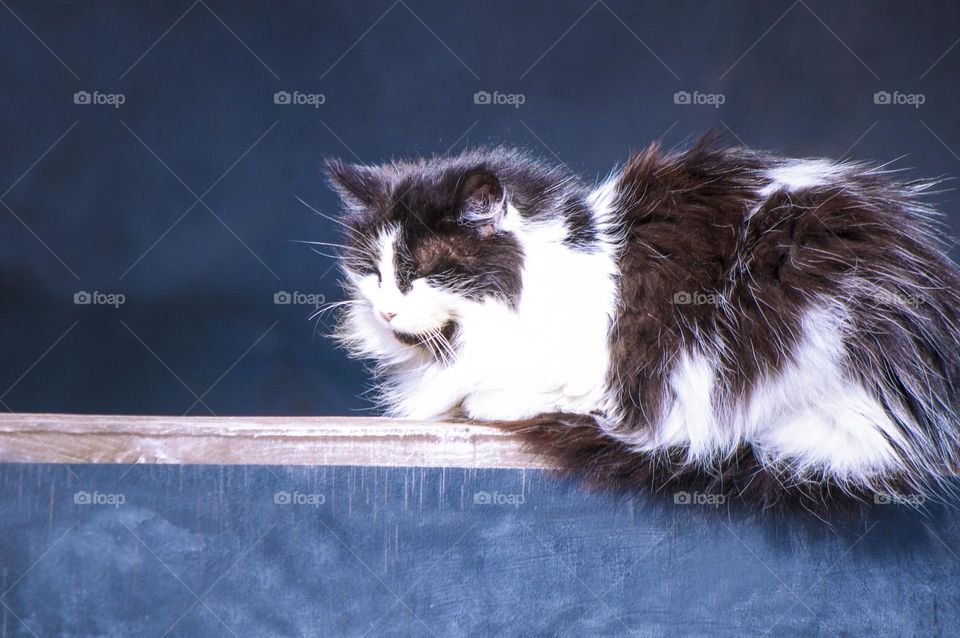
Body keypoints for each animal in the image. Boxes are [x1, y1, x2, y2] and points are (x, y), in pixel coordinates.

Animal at [326, 138, 960, 508]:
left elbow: (507, 392)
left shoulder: (598, 375)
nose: (385, 309)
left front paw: (480, 401)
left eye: (422, 273)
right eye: (373, 270)